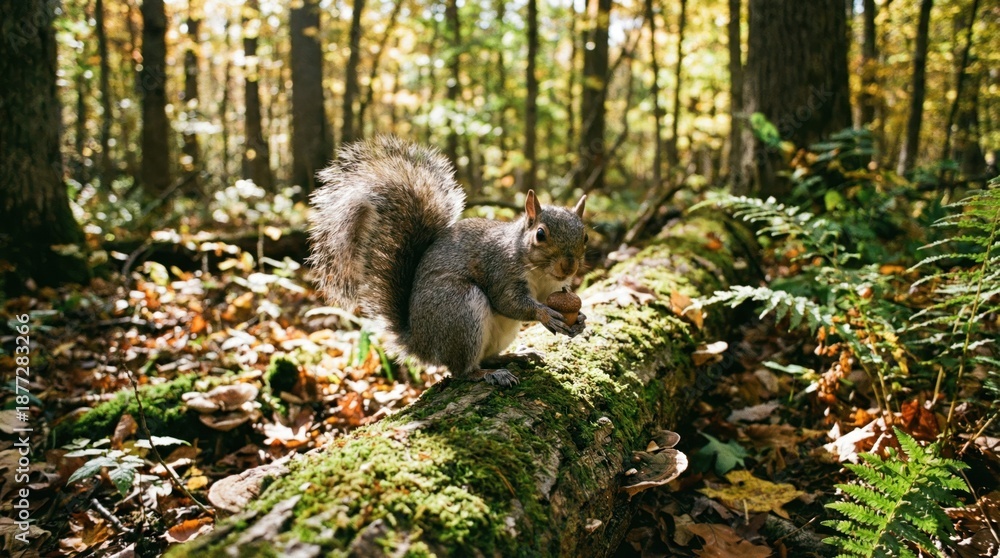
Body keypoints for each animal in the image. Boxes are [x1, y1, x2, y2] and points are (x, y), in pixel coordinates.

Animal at [308, 135, 588, 386]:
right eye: (540, 235)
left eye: (585, 236)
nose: (569, 266)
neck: (540, 271)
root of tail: (420, 342)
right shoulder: (500, 269)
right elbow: (509, 302)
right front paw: (545, 314)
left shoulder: (553, 288)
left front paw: (580, 320)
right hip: (459, 309)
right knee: (461, 371)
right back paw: (487, 374)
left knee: (489, 356)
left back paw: (516, 356)